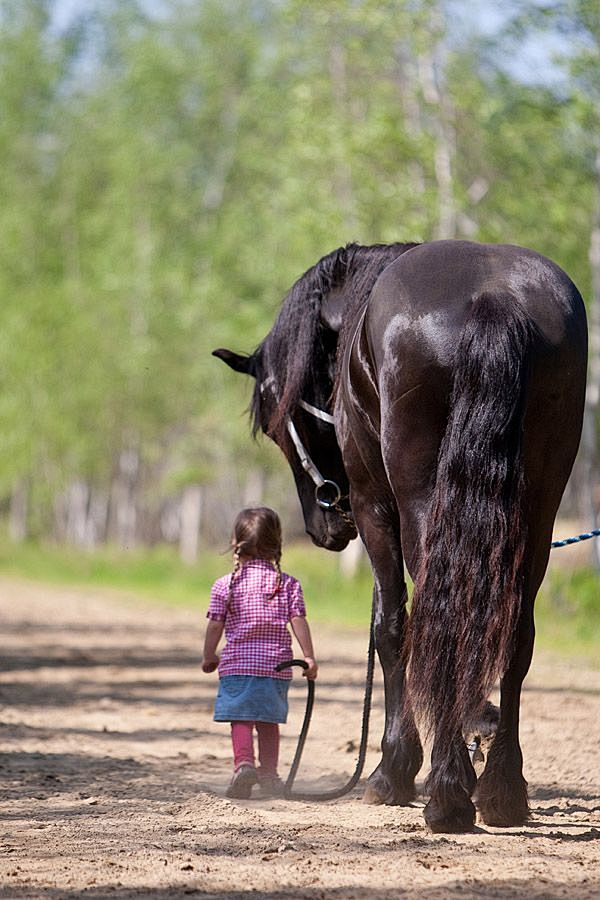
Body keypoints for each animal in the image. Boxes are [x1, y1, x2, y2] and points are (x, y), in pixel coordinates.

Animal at [214, 241, 584, 836]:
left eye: (276, 424)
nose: (324, 526)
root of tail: (495, 296)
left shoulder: (374, 507)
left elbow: (391, 628)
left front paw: (394, 768)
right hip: (539, 512)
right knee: (514, 634)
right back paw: (502, 790)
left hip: (418, 505)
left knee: (442, 619)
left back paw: (448, 792)